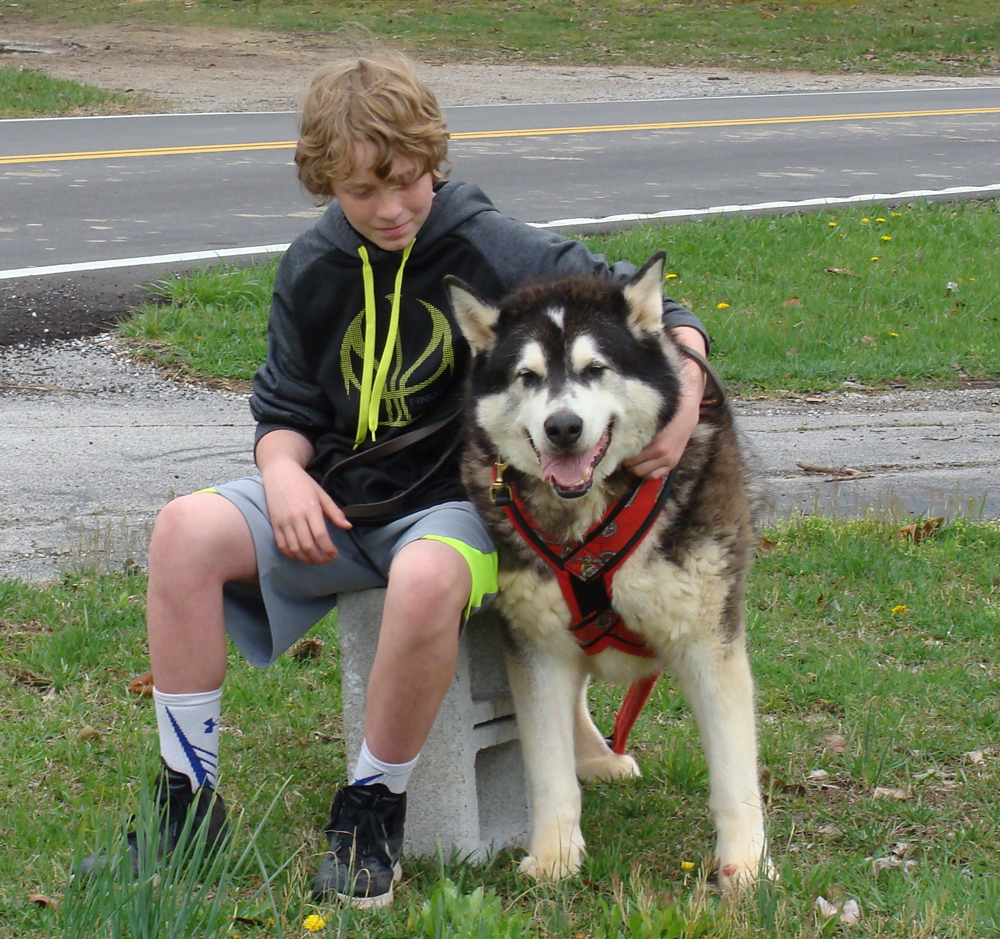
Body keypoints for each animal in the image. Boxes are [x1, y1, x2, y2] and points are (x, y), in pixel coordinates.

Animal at [448, 253, 772, 892]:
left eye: (595, 368)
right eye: (526, 377)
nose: (563, 426)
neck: (592, 518)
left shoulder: (708, 638)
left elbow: (732, 770)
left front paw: (746, 866)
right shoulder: (536, 642)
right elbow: (547, 767)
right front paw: (554, 856)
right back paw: (594, 756)